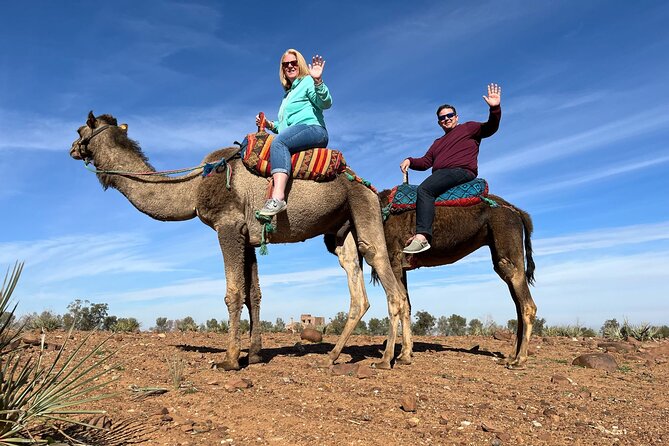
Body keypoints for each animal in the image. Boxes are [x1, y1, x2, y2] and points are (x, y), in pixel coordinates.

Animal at [69, 112, 411, 370]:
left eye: (79, 129)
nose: (72, 148)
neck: (193, 188)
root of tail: (365, 182)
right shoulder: (248, 237)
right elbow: (254, 294)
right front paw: (256, 355)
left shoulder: (228, 226)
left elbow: (233, 293)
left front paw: (230, 360)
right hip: (341, 229)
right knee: (356, 283)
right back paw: (335, 354)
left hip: (363, 208)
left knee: (388, 281)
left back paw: (385, 360)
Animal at [325, 187, 536, 368]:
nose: (331, 243)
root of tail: (518, 212)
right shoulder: (402, 265)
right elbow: (407, 305)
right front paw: (405, 355)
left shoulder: (393, 258)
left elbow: (397, 301)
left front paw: (386, 360)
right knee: (517, 303)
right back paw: (510, 356)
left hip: (507, 243)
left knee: (526, 304)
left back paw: (520, 360)